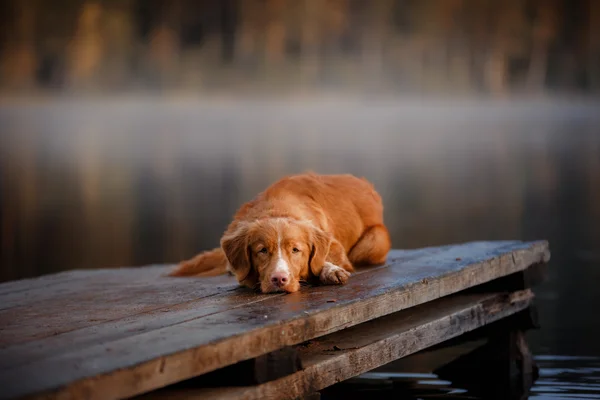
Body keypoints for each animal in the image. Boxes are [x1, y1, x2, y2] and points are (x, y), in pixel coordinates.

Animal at [170, 173, 394, 294]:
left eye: (296, 250)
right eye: (262, 251)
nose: (279, 279)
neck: (277, 207)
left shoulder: (334, 246)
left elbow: (325, 260)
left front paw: (330, 270)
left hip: (373, 242)